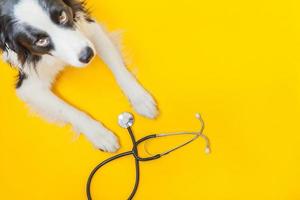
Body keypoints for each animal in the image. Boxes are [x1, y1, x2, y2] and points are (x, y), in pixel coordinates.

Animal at [0, 0, 158, 152]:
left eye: (62, 16)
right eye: (40, 41)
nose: (87, 55)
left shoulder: (89, 28)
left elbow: (118, 66)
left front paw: (139, 98)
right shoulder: (29, 86)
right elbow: (67, 110)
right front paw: (99, 134)